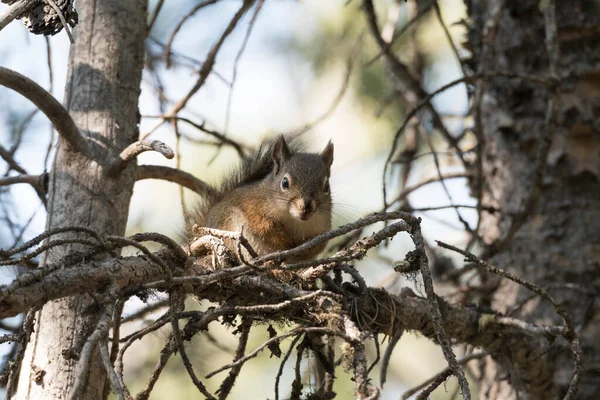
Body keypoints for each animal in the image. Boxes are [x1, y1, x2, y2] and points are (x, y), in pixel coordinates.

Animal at [185, 134, 336, 262]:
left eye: (326, 186)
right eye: (285, 183)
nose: (306, 206)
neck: (293, 220)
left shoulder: (322, 227)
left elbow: (319, 245)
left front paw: (306, 248)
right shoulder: (251, 204)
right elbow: (262, 225)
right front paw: (281, 239)